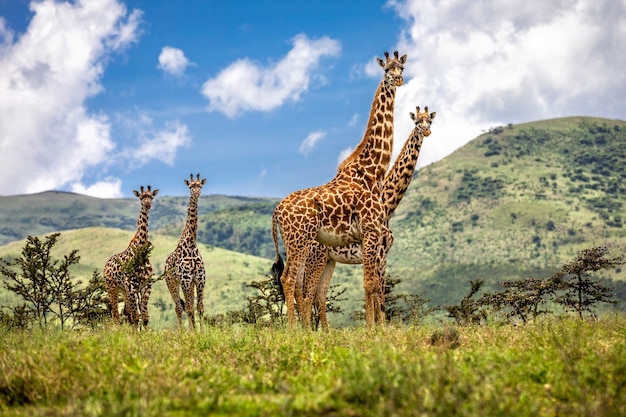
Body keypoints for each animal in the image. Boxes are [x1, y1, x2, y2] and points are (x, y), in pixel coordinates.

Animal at [103, 184, 157, 324]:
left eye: (151, 197)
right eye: (141, 197)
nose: (147, 204)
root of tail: (106, 265)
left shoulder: (146, 287)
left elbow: (144, 316)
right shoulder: (132, 287)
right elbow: (136, 316)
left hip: (123, 289)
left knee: (127, 313)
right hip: (112, 287)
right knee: (115, 315)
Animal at [162, 172, 206, 328]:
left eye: (200, 186)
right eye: (190, 186)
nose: (196, 193)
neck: (191, 244)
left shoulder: (199, 280)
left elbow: (199, 307)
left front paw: (203, 331)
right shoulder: (186, 280)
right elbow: (190, 308)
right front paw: (194, 332)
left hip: (188, 284)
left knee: (187, 306)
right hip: (172, 283)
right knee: (179, 307)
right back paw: (182, 331)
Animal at [272, 50, 408, 326]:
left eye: (402, 68)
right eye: (386, 69)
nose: (398, 80)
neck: (372, 171)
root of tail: (277, 211)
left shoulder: (367, 238)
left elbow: (372, 285)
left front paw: (376, 327)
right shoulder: (371, 232)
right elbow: (371, 284)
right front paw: (374, 329)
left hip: (298, 245)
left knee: (300, 286)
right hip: (301, 242)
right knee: (291, 281)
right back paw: (293, 330)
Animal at [302, 106, 434, 328]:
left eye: (430, 122)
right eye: (417, 122)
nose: (426, 132)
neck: (388, 203)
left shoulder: (381, 255)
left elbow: (377, 289)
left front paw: (379, 326)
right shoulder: (379, 253)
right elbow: (377, 290)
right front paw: (379, 327)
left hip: (329, 260)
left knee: (318, 294)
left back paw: (323, 331)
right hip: (316, 258)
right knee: (306, 294)